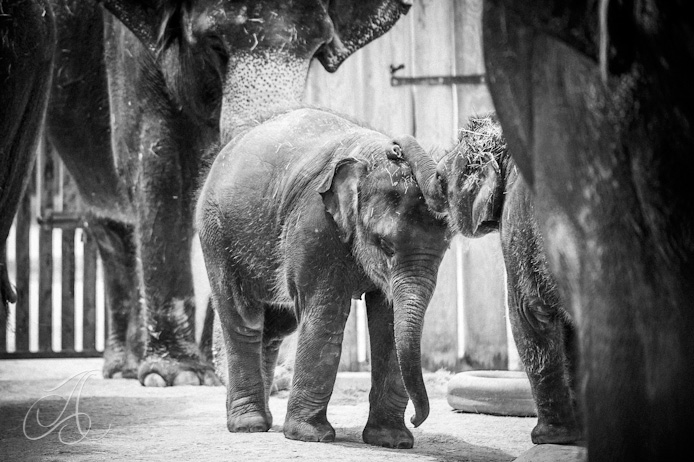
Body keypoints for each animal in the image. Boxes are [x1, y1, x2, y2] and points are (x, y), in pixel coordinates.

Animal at [196, 106, 452, 446]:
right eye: (384, 244)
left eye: (445, 248)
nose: (397, 147)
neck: (368, 156)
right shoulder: (315, 222)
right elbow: (326, 314)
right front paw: (310, 436)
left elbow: (387, 325)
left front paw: (392, 441)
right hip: (216, 232)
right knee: (243, 318)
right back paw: (248, 425)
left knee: (275, 326)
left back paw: (261, 419)